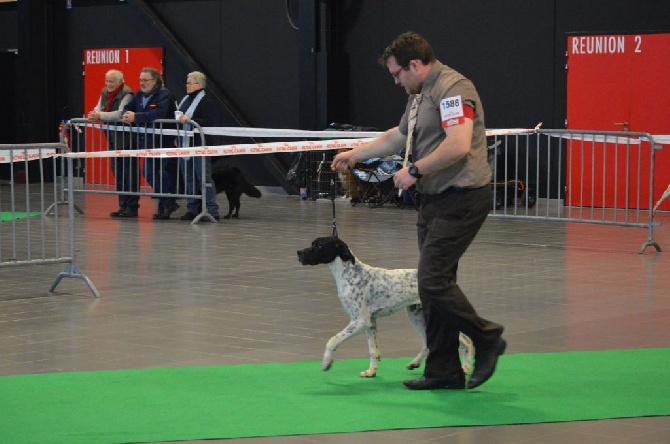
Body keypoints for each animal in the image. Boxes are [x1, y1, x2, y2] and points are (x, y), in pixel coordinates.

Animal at [296, 236, 476, 378]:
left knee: (466, 342)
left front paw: (326, 362)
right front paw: (371, 371)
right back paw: (415, 363)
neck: (350, 274)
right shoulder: (370, 323)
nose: (298, 253)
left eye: (319, 245)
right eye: (312, 243)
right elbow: (373, 350)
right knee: (428, 344)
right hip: (417, 317)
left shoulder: (359, 322)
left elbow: (332, 341)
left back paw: (466, 367)